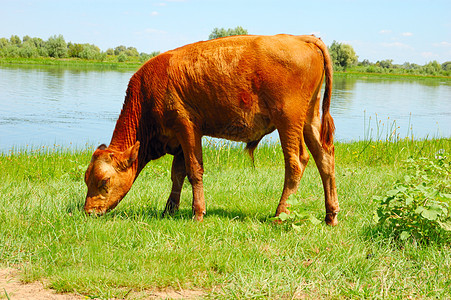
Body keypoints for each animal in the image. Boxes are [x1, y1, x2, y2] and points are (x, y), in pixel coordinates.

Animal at [84, 34, 340, 225]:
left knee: (296, 161)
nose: (88, 211)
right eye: (86, 179)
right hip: (309, 119)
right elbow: (177, 174)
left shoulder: (187, 127)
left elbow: (194, 171)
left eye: (104, 181)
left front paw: (198, 213)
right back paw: (331, 216)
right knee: (324, 158)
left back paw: (280, 214)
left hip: (288, 121)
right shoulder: (179, 140)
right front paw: (169, 210)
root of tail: (300, 38)